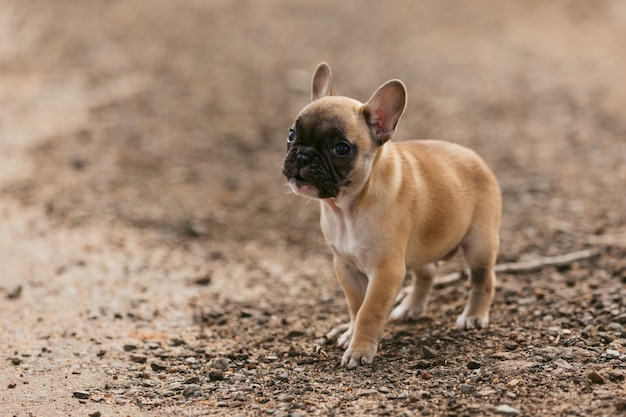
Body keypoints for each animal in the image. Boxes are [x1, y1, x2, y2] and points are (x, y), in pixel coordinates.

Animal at [280, 61, 500, 368]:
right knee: (427, 273)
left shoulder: (385, 272)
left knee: (483, 279)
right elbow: (356, 306)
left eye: (341, 149)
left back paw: (473, 316)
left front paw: (359, 350)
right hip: (422, 246)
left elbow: (369, 311)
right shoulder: (345, 266)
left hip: (479, 244)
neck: (348, 208)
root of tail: (476, 158)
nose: (302, 155)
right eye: (291, 134)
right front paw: (350, 333)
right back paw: (410, 308)